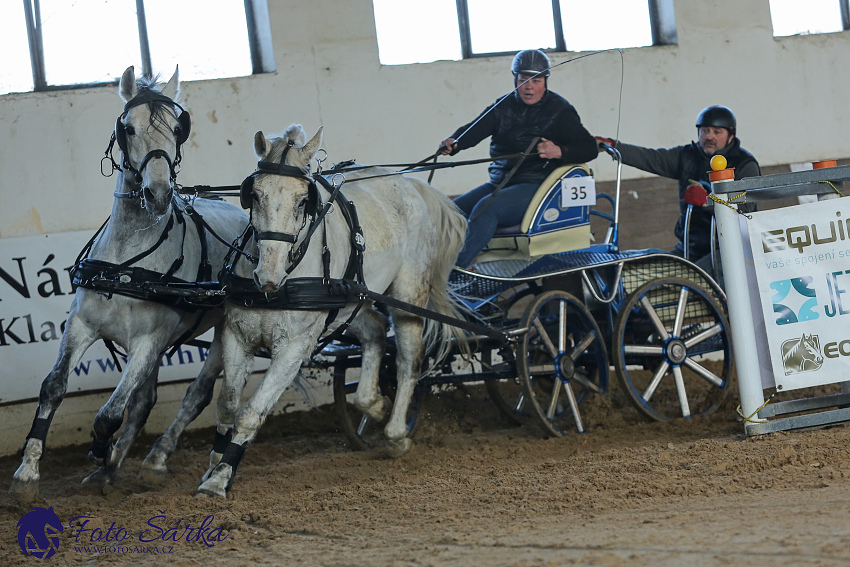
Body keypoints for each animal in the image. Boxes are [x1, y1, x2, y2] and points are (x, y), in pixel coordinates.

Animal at [9, 65, 248, 502]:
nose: (157, 194)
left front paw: (101, 451)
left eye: (177, 128)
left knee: (196, 395)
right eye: (128, 128)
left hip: (225, 330)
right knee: (146, 400)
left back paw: (155, 461)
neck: (126, 266)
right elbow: (54, 387)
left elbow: (110, 413)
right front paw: (28, 472)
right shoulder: (82, 326)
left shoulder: (148, 342)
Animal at [196, 124, 468, 496]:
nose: (268, 276)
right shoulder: (238, 337)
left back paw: (396, 434)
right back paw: (374, 404)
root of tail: (413, 185)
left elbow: (251, 412)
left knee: (409, 358)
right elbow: (226, 406)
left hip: (409, 292)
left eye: (303, 200)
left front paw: (222, 475)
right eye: (255, 194)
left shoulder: (292, 348)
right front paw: (214, 466)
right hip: (350, 300)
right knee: (375, 330)